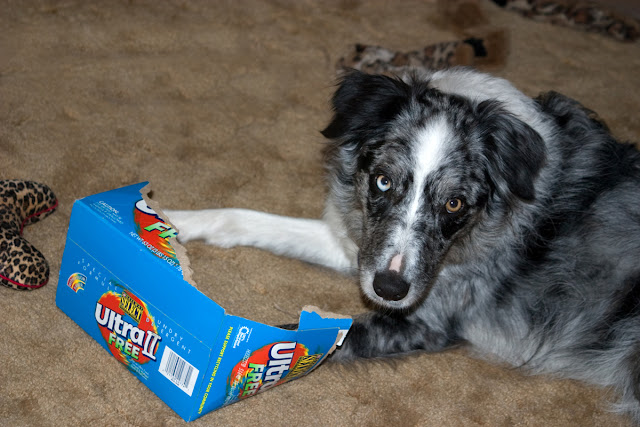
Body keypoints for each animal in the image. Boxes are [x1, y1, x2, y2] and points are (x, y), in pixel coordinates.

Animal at [166, 68, 640, 423]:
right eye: (382, 181)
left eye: (454, 203)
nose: (390, 290)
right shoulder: (362, 248)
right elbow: (243, 217)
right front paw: (171, 220)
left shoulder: (424, 321)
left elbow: (308, 339)